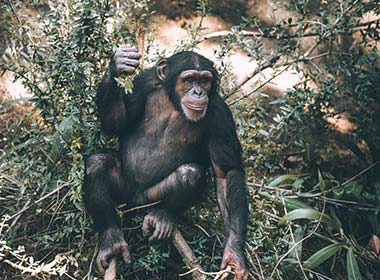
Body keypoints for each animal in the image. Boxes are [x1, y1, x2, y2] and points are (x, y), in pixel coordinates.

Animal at [83, 47, 249, 278]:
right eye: (189, 80)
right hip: (124, 190)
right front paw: (118, 65)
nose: (198, 92)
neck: (174, 103)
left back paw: (163, 216)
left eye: (204, 81)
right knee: (97, 164)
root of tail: (135, 203)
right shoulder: (143, 83)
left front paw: (234, 251)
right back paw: (111, 239)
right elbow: (115, 124)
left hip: (150, 198)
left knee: (190, 173)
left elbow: (226, 173)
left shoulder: (220, 115)